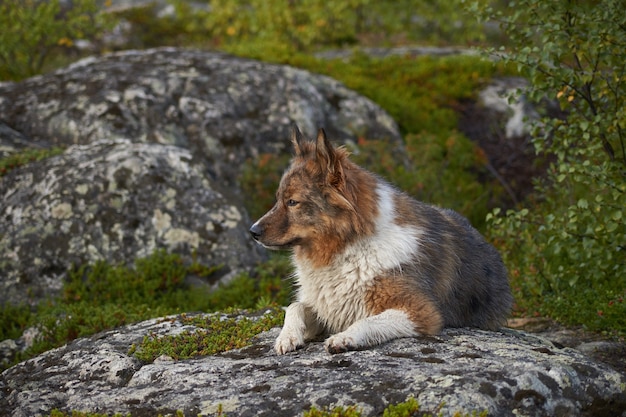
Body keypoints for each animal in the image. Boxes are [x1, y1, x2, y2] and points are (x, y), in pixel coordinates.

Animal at [250, 127, 512, 354]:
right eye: (279, 199)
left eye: (292, 202)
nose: (252, 231)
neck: (348, 248)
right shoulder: (327, 305)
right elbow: (294, 307)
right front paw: (287, 337)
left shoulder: (421, 311)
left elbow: (367, 321)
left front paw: (345, 337)